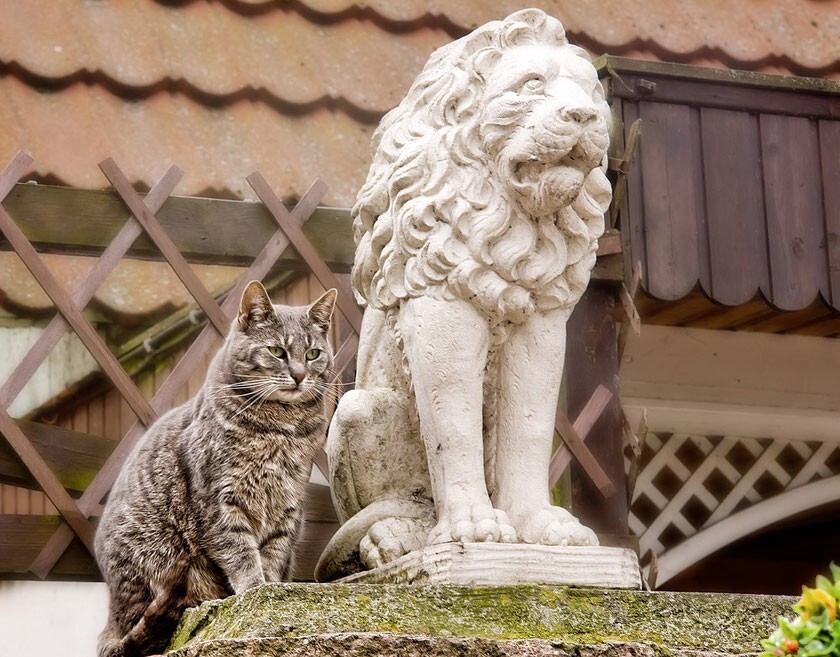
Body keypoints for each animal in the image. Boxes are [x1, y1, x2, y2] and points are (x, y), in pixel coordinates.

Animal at [94, 280, 338, 656]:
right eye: (277, 351)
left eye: (313, 354)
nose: (299, 375)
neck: (280, 429)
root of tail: (110, 620)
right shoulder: (221, 499)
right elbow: (241, 553)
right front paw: (255, 590)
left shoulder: (287, 504)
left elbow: (273, 554)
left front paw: (271, 588)